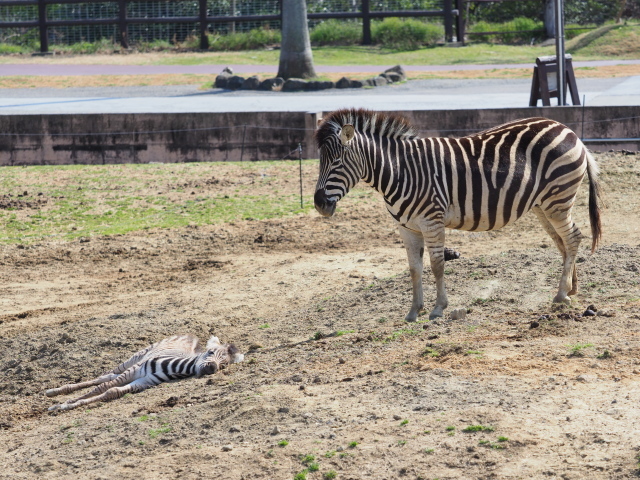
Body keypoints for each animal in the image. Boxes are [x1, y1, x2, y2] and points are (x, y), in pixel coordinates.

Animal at [46, 334, 244, 412]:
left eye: (223, 366)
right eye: (210, 353)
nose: (211, 369)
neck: (174, 367)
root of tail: (190, 337)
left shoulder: (144, 382)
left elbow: (111, 391)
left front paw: (70, 404)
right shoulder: (134, 372)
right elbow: (103, 387)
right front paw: (65, 404)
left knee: (108, 378)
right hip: (133, 360)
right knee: (104, 377)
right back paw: (55, 391)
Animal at [316, 107, 604, 320]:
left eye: (337, 162)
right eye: (320, 162)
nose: (319, 204)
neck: (401, 171)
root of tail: (568, 129)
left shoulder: (431, 221)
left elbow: (436, 265)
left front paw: (438, 308)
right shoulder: (407, 228)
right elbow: (414, 269)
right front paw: (413, 311)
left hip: (558, 199)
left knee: (573, 237)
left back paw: (561, 294)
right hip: (543, 205)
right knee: (563, 242)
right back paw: (571, 288)